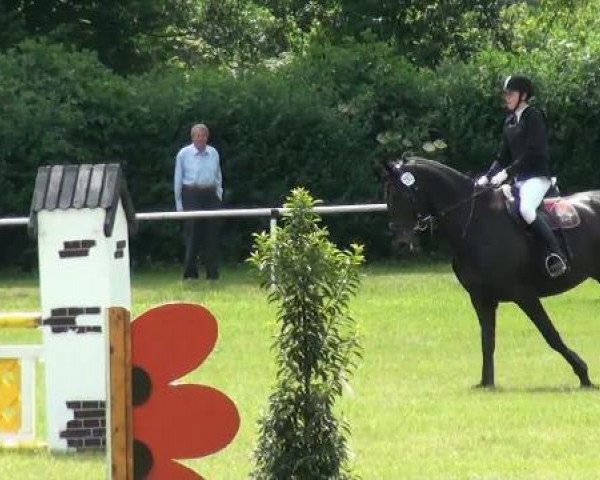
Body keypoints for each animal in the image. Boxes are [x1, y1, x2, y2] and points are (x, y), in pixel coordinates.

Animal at [384, 158, 600, 390]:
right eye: (388, 197)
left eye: (399, 196)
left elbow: (550, 334)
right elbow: (487, 340)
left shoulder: (524, 295)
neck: (476, 223)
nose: (402, 244)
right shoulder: (481, 299)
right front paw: (486, 382)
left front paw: (583, 374)